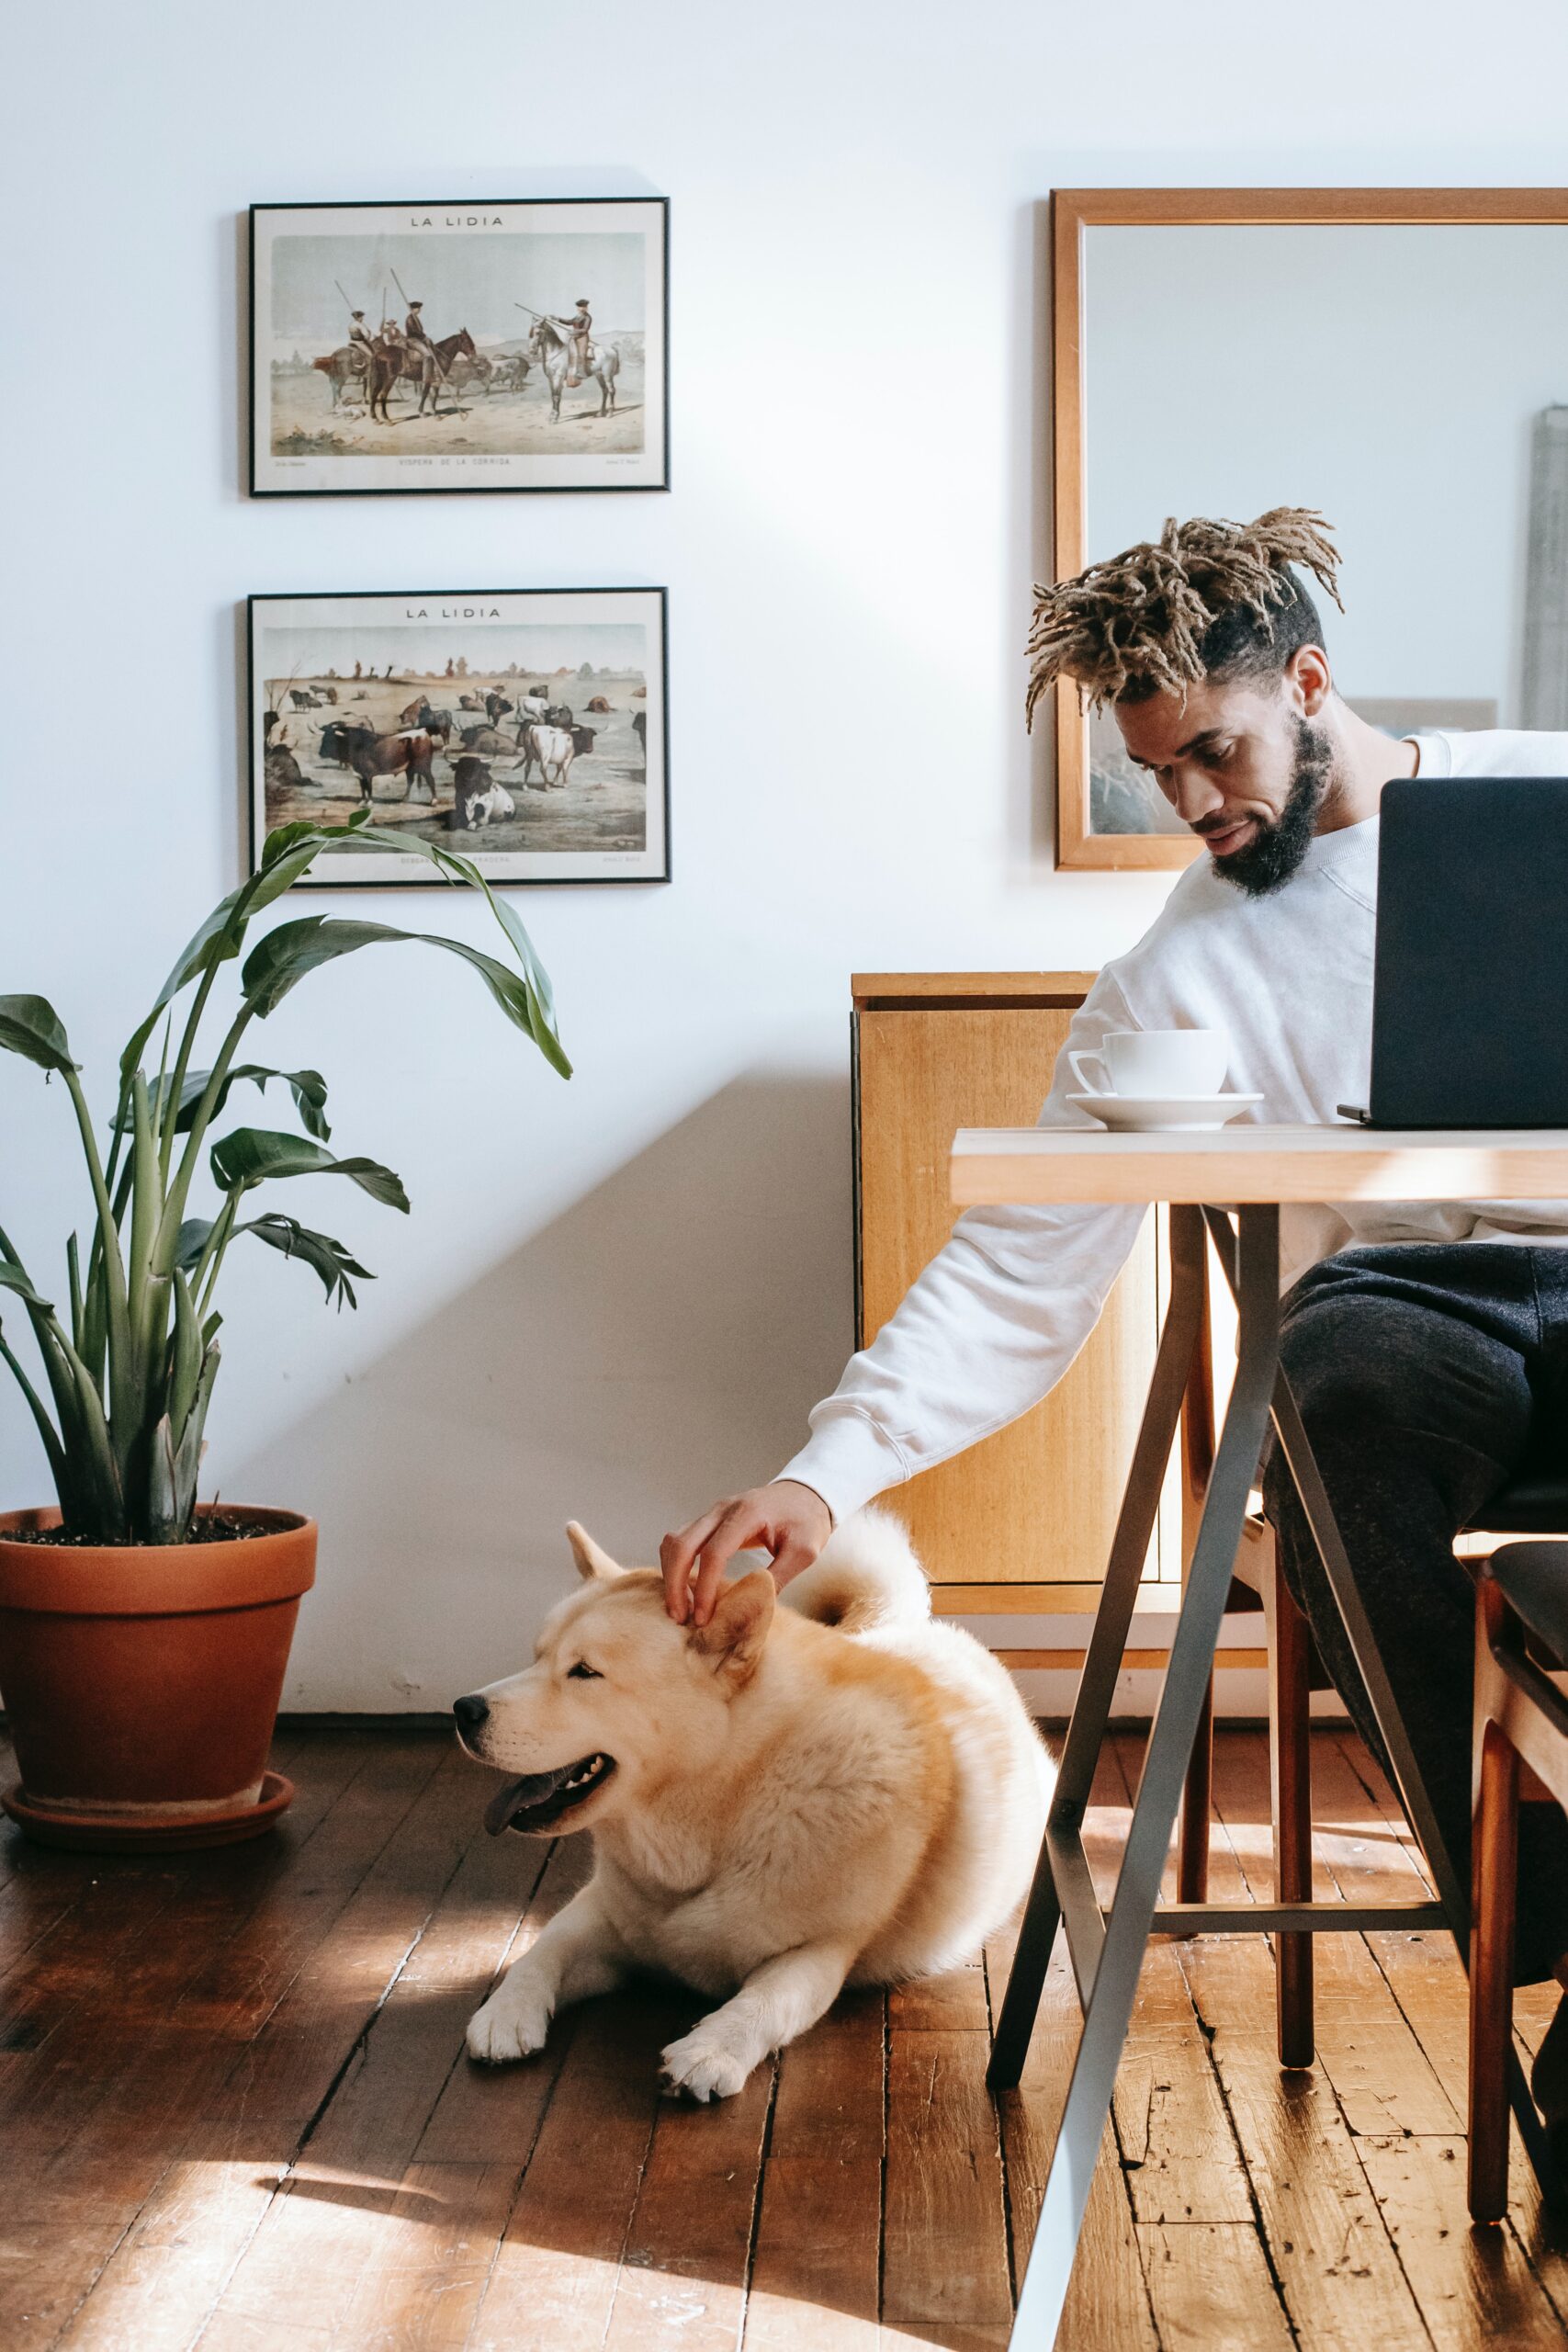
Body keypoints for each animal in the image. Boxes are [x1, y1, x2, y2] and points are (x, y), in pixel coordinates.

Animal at [453, 1514, 1053, 2107]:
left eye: (584, 1672)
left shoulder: (822, 1950)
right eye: (536, 1658)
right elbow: (543, 1949)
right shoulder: (605, 1914)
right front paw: (506, 2010)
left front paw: (712, 2050)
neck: (728, 1808)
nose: (462, 1709)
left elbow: (768, 2001)